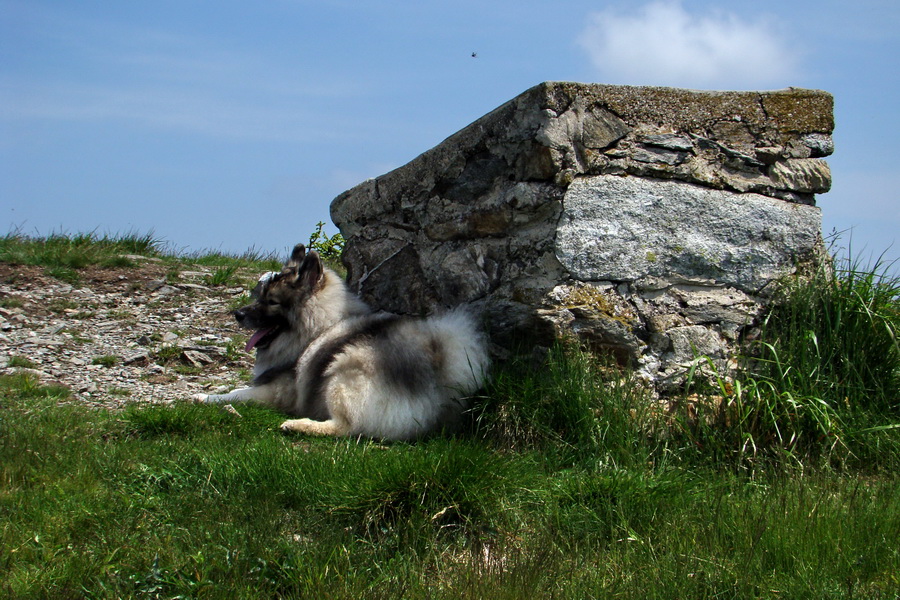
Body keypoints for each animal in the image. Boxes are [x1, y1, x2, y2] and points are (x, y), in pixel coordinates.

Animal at [195, 243, 492, 440]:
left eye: (271, 302)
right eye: (260, 296)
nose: (238, 314)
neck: (318, 329)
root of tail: (438, 376)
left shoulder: (277, 390)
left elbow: (238, 393)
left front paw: (204, 397)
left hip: (343, 370)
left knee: (346, 428)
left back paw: (299, 424)